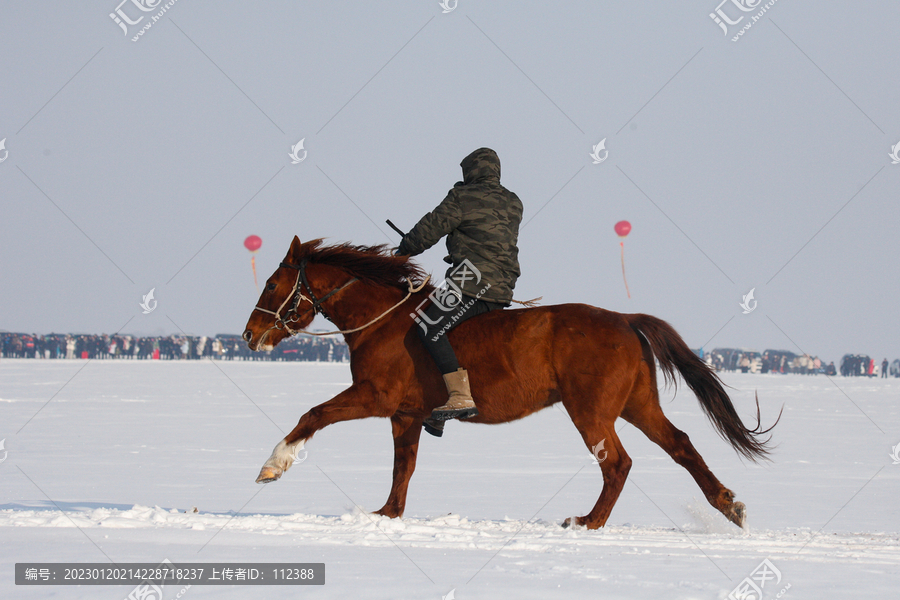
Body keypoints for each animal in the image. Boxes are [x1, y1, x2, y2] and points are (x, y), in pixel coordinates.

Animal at [243, 237, 776, 528]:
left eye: (271, 284)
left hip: (591, 410)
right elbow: (403, 468)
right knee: (682, 445)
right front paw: (386, 514)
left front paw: (273, 465)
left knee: (618, 463)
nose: (249, 335)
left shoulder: (375, 397)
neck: (384, 321)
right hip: (637, 404)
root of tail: (625, 320)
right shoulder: (405, 415)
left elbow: (313, 414)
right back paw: (728, 506)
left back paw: (588, 521)